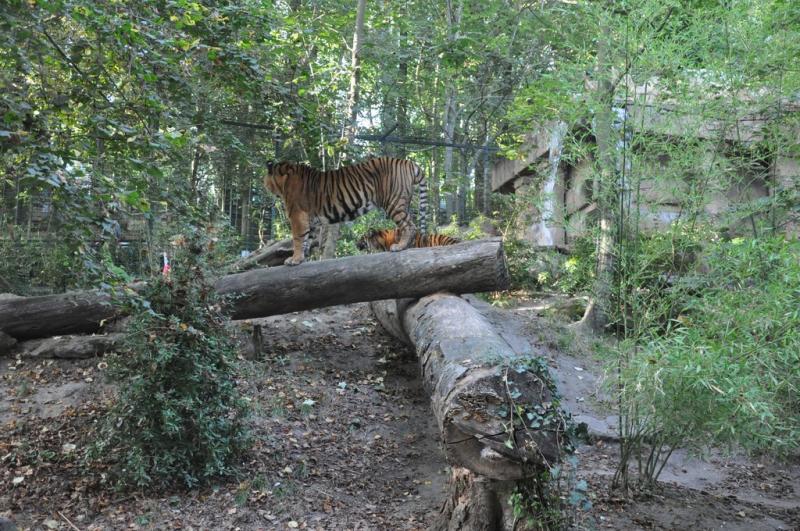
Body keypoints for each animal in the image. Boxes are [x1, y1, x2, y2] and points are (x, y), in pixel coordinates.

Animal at [265, 157, 427, 265]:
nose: (264, 186)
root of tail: (408, 162)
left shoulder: (297, 215)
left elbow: (297, 238)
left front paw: (294, 259)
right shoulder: (310, 219)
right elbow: (306, 239)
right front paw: (302, 259)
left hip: (394, 202)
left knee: (409, 225)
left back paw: (399, 247)